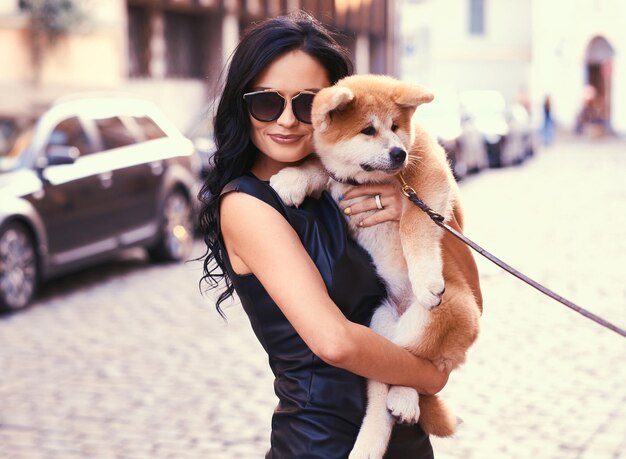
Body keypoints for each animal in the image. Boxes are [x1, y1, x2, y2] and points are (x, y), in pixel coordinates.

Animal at [270, 75, 480, 459]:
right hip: (380, 322)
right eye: (368, 130)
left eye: (396, 127)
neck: (369, 182)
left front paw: (426, 279)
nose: (399, 153)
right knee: (385, 383)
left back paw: (405, 399)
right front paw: (293, 178)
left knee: (418, 366)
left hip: (437, 318)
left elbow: (413, 223)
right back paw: (370, 440)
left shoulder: (427, 175)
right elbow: (320, 165)